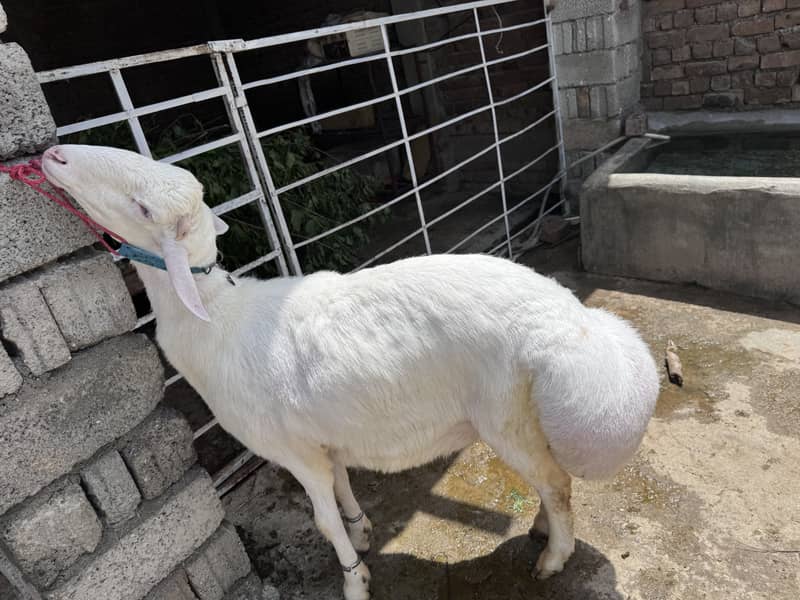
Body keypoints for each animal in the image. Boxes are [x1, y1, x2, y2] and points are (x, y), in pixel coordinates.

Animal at [41, 144, 659, 600]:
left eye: (143, 209)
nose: (52, 155)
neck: (217, 319)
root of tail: (569, 320)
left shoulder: (294, 452)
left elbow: (322, 522)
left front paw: (354, 580)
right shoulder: (322, 438)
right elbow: (342, 490)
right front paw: (363, 531)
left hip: (505, 415)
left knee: (556, 482)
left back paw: (553, 557)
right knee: (551, 479)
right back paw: (542, 529)